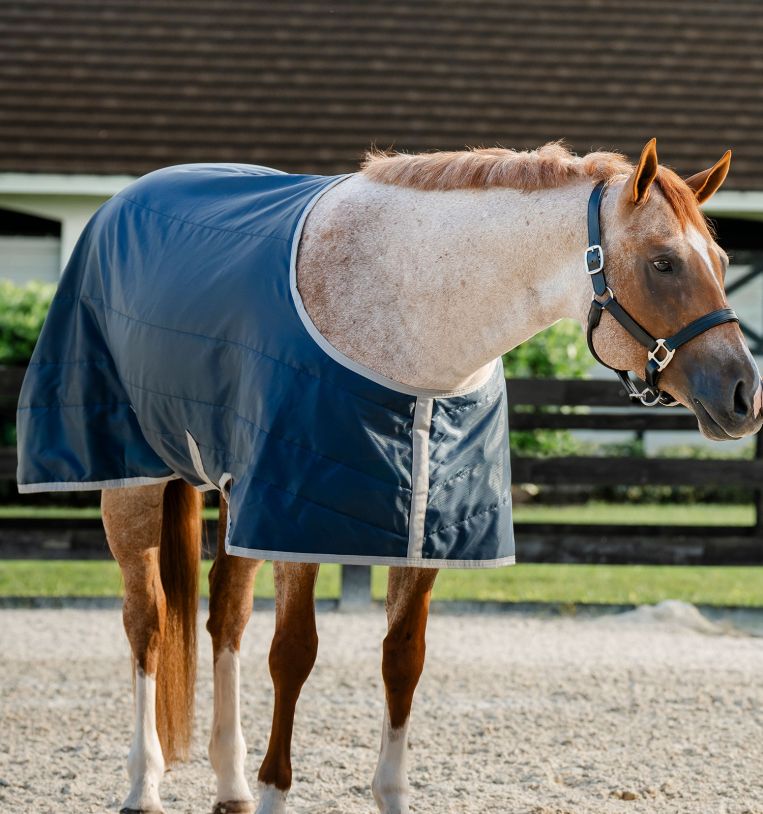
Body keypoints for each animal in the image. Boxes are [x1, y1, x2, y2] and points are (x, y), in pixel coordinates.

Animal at [22, 138, 763, 813]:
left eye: (724, 262)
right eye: (663, 261)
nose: (743, 396)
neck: (406, 313)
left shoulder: (422, 529)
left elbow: (403, 658)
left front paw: (384, 792)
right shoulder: (299, 519)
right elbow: (293, 653)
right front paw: (275, 790)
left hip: (239, 497)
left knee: (224, 615)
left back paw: (230, 786)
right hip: (134, 484)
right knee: (146, 621)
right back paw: (144, 786)